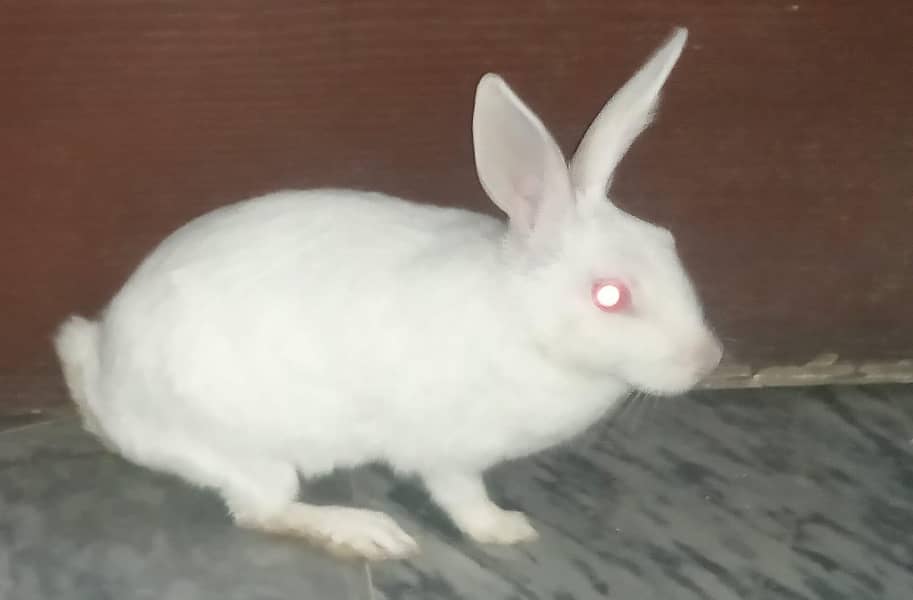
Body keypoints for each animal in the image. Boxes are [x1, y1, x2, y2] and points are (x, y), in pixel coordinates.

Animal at [53, 27, 721, 560]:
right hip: (246, 450)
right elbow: (462, 497)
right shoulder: (448, 452)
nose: (708, 360)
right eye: (610, 295)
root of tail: (105, 382)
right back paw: (368, 533)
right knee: (262, 510)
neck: (522, 322)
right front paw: (506, 529)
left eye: (667, 243)